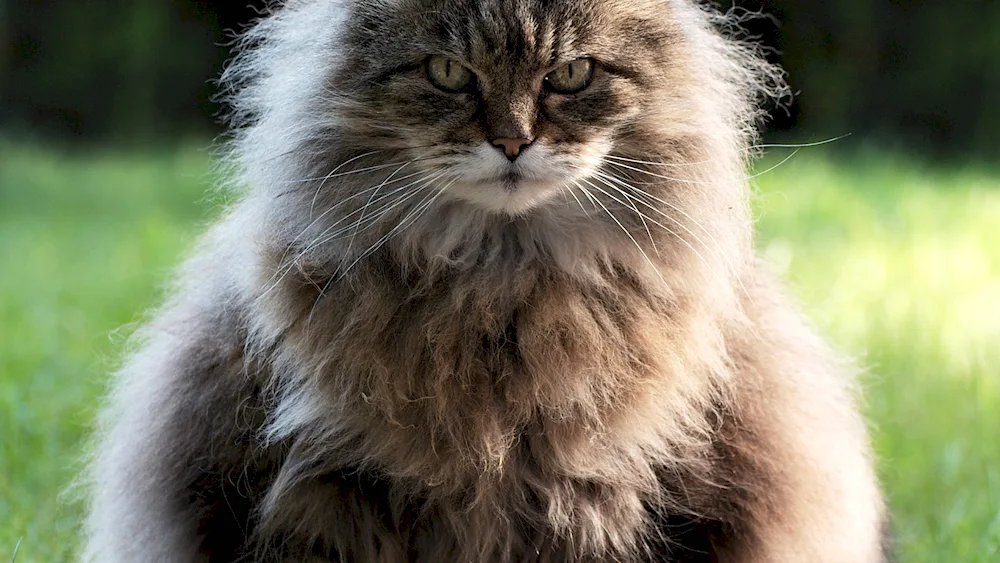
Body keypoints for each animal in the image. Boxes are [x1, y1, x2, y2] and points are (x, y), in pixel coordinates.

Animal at [82, 1, 888, 563]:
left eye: (571, 76)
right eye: (446, 74)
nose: (512, 143)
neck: (502, 285)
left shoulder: (623, 497)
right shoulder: (322, 490)